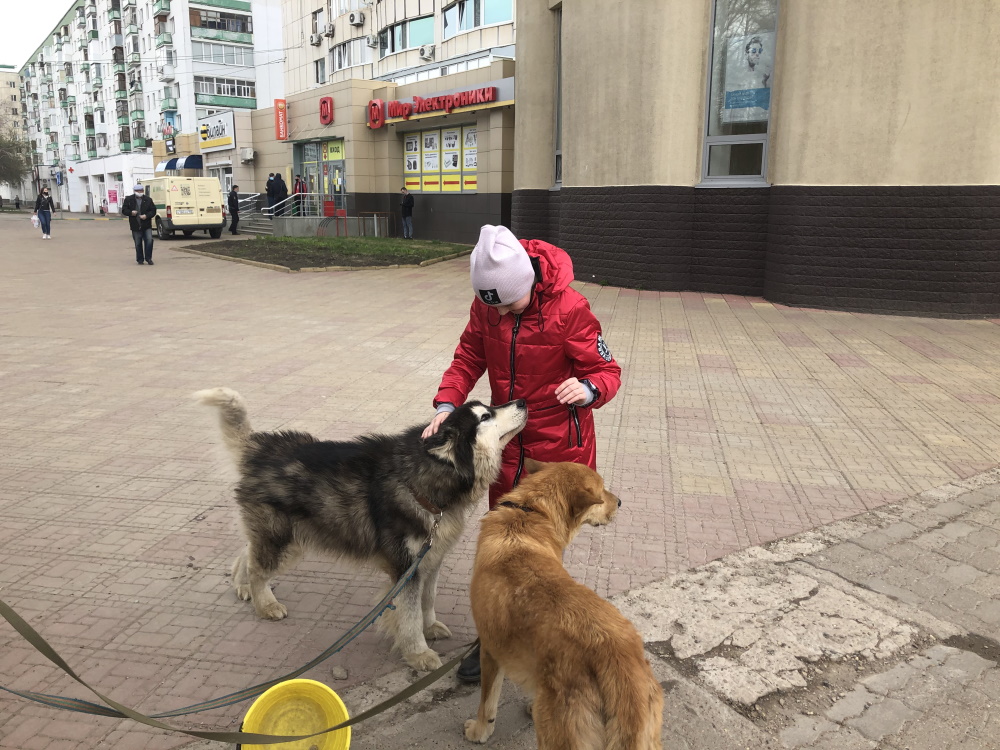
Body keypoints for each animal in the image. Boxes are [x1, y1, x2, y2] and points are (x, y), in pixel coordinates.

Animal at [190, 390, 528, 672]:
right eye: (485, 417)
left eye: (489, 408)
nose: (523, 402)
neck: (423, 478)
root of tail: (260, 447)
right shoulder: (406, 568)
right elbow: (409, 615)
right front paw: (419, 653)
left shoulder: (430, 559)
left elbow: (428, 599)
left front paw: (430, 627)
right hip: (284, 539)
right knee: (259, 566)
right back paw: (265, 602)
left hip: (285, 536)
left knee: (248, 551)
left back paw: (243, 585)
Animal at [466, 462, 664, 748]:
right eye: (601, 492)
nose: (620, 502)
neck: (529, 514)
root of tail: (619, 662)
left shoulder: (490, 652)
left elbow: (487, 702)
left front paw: (480, 730)